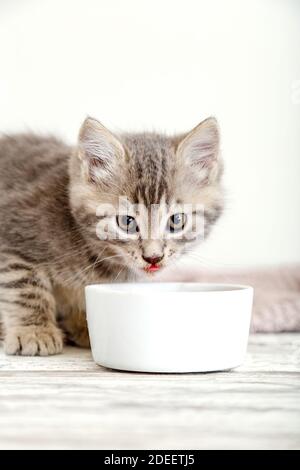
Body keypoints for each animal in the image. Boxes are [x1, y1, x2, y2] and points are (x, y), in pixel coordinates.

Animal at [0, 115, 223, 354]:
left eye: (176, 220)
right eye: (127, 222)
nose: (153, 257)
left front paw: (83, 325)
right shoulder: (13, 238)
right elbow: (24, 286)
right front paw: (34, 331)